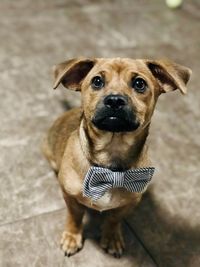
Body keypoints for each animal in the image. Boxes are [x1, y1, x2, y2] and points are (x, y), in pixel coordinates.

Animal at [42, 57, 191, 258]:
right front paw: (72, 237)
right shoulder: (70, 197)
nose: (114, 100)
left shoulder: (129, 203)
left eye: (139, 84)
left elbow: (114, 219)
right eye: (97, 81)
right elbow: (75, 217)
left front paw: (112, 237)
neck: (110, 166)